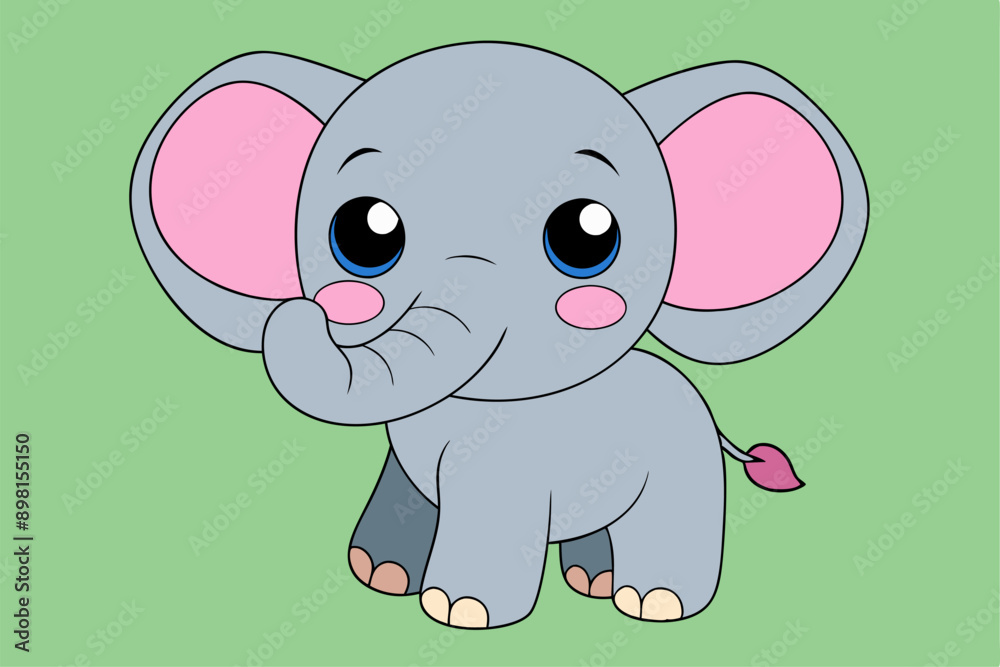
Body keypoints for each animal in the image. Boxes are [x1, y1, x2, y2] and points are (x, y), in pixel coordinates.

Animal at [130, 42, 867, 629]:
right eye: (362, 233)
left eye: (586, 235)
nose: (303, 310)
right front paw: (381, 574)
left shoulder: (508, 467)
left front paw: (460, 610)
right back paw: (592, 581)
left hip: (684, 462)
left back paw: (652, 602)